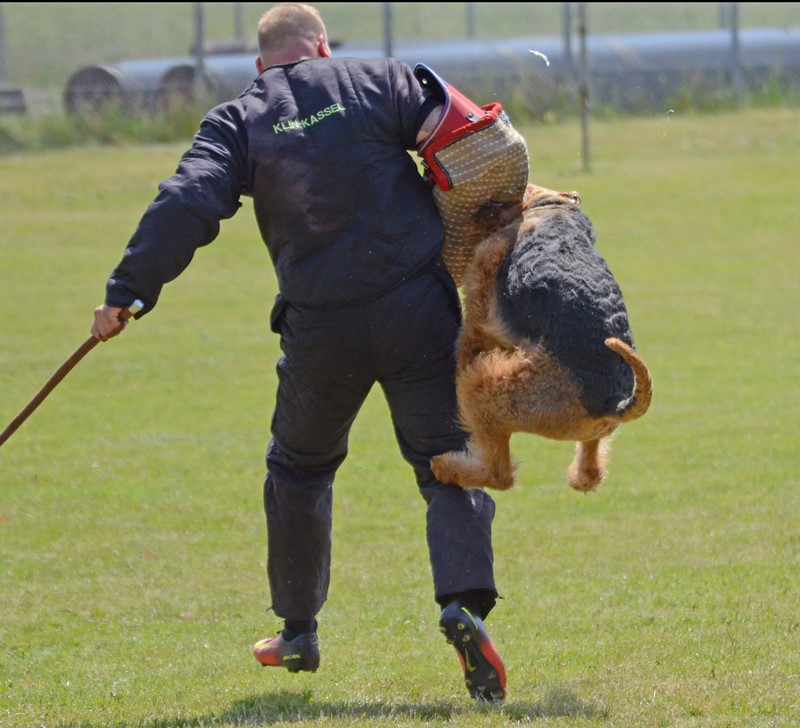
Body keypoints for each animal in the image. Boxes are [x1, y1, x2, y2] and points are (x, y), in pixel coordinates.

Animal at [431, 183, 653, 493]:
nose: (480, 211)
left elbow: (474, 324)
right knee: (591, 472)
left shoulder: (485, 270)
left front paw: (467, 350)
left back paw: (445, 466)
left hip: (488, 391)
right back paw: (577, 476)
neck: (550, 206)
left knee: (500, 474)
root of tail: (615, 402)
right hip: (592, 432)